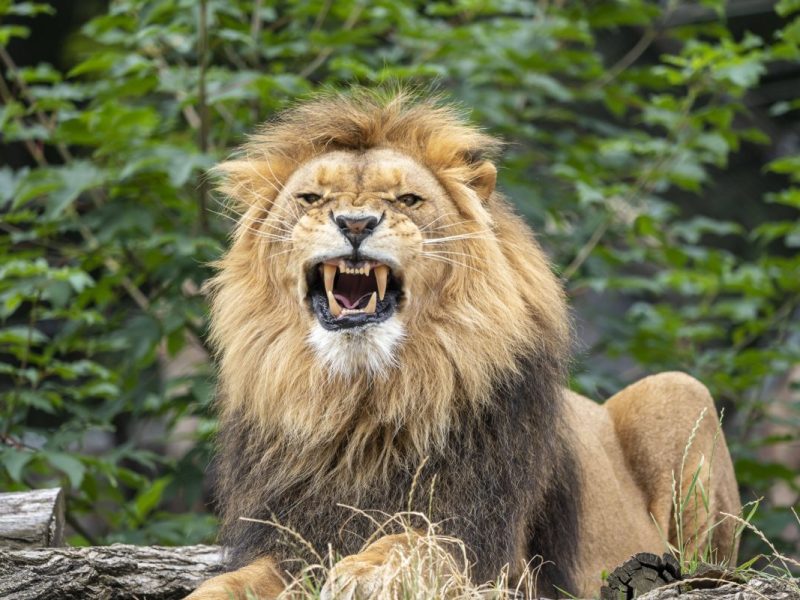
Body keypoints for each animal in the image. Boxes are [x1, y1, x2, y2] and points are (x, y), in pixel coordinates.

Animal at [189, 89, 744, 600]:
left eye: (408, 200)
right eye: (310, 199)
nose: (355, 223)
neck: (363, 401)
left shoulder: (495, 552)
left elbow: (418, 541)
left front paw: (368, 571)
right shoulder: (288, 540)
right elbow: (224, 585)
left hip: (679, 391)